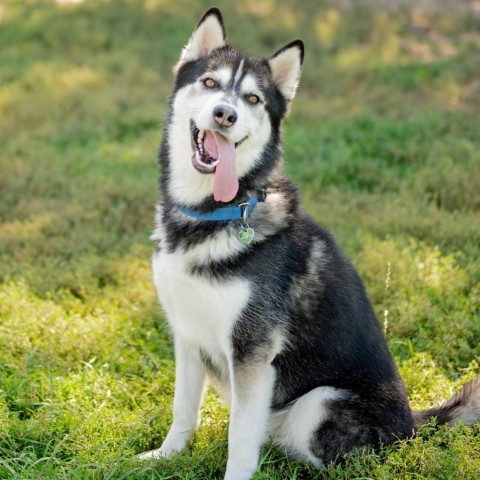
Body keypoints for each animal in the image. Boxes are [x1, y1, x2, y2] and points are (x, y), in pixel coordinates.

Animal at [139, 8, 480, 480]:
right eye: (209, 83)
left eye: (253, 99)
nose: (225, 115)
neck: (212, 213)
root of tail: (413, 426)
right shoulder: (187, 333)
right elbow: (183, 410)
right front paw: (166, 456)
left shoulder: (252, 351)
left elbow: (239, 438)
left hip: (318, 405)